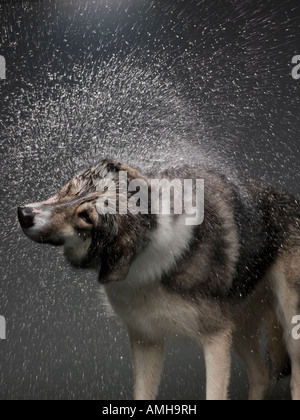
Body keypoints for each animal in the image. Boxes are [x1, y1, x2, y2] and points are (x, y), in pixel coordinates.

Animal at [17, 158, 300, 400]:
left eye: (86, 217)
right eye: (69, 189)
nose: (24, 214)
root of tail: (291, 200)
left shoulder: (216, 339)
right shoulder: (146, 340)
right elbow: (142, 393)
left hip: (289, 329)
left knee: (294, 379)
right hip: (240, 329)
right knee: (261, 374)